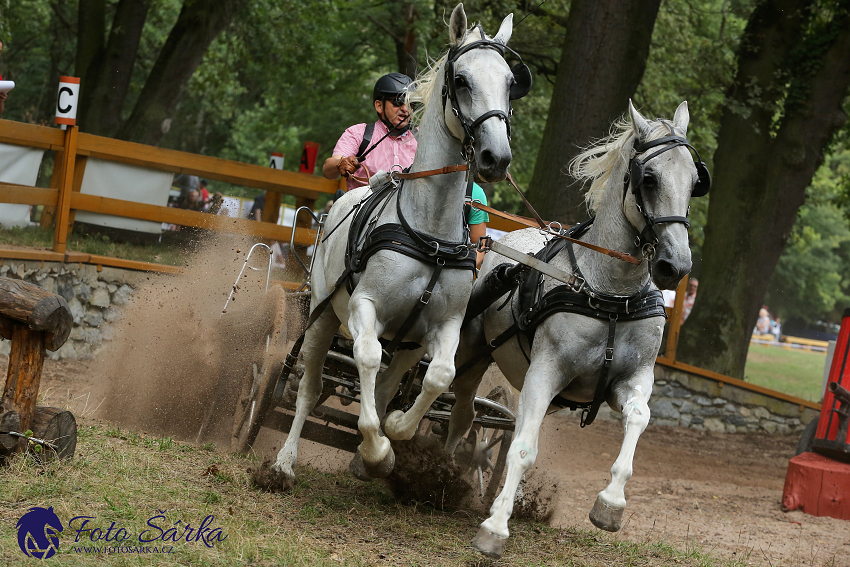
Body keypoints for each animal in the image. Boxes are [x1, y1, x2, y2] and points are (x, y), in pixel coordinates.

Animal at [264, 4, 520, 488]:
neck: (429, 236)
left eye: (510, 81)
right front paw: (377, 447)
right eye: (462, 79)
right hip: (323, 316)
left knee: (389, 384)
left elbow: (438, 377)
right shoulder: (364, 308)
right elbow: (365, 358)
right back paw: (284, 462)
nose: (496, 158)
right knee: (308, 387)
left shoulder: (441, 328)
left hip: (406, 344)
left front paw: (395, 435)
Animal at [450, 102, 704, 560]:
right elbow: (524, 448)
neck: (610, 295)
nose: (675, 266)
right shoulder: (545, 371)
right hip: (471, 353)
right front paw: (494, 528)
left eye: (695, 182)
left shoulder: (630, 379)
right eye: (650, 179)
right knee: (452, 403)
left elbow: (638, 418)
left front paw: (611, 504)